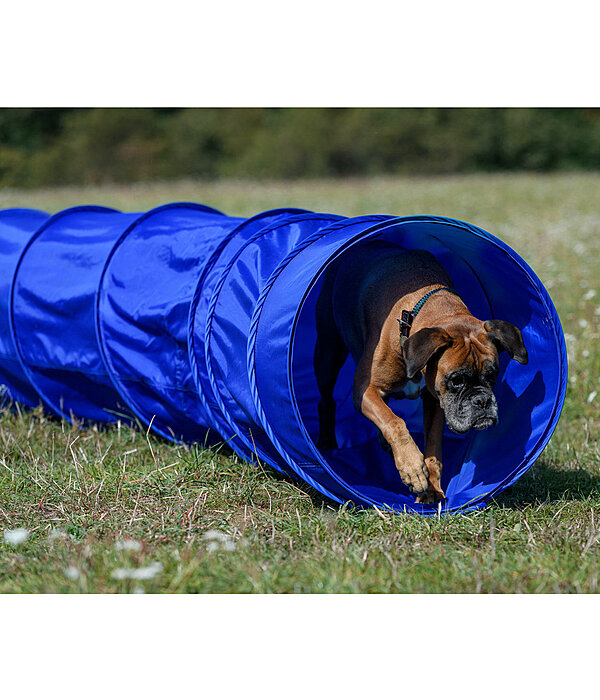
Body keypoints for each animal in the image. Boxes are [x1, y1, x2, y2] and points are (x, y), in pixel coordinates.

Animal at [312, 242, 528, 504]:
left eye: (492, 376)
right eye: (456, 380)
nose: (482, 401)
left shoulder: (435, 402)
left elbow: (433, 448)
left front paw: (432, 488)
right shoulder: (366, 390)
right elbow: (395, 422)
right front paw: (413, 469)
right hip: (327, 355)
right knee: (327, 400)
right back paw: (326, 443)